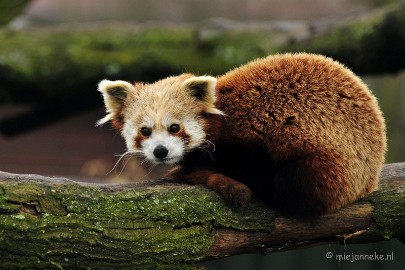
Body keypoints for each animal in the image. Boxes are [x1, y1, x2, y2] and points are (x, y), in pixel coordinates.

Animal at [98, 53, 386, 216]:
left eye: (174, 128)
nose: (161, 151)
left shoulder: (248, 140)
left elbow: (256, 172)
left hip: (335, 165)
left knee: (292, 183)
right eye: (145, 131)